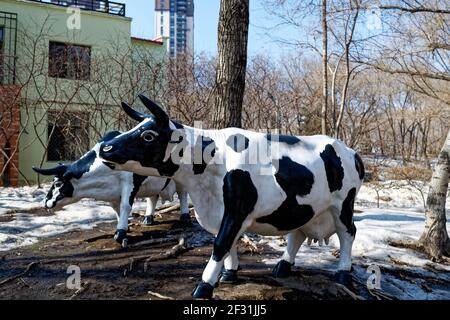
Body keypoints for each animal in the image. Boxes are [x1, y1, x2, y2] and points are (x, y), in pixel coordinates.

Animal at [32, 131, 190, 246]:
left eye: (58, 183)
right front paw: (126, 227)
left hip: (182, 179)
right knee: (152, 197)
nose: (46, 202)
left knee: (182, 194)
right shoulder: (112, 192)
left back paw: (184, 217)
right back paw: (148, 219)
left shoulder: (129, 183)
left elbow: (125, 206)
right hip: (153, 184)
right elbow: (117, 209)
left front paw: (120, 233)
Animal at [99, 94, 366, 298]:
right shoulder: (220, 211)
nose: (105, 147)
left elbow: (221, 243)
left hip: (343, 204)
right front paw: (229, 274)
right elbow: (229, 243)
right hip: (306, 207)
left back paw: (343, 273)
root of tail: (350, 150)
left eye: (148, 135)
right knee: (297, 234)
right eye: (135, 128)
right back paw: (282, 266)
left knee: (348, 233)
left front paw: (205, 285)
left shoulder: (237, 209)